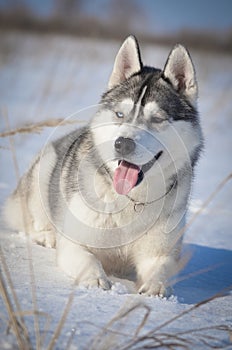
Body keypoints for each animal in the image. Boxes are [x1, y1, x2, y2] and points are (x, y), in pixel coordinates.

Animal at [3, 36, 203, 296]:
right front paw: (96, 280)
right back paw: (46, 235)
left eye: (157, 119)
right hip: (45, 171)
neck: (130, 200)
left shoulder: (161, 252)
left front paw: (155, 288)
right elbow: (88, 259)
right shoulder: (76, 243)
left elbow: (162, 269)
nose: (122, 144)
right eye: (119, 114)